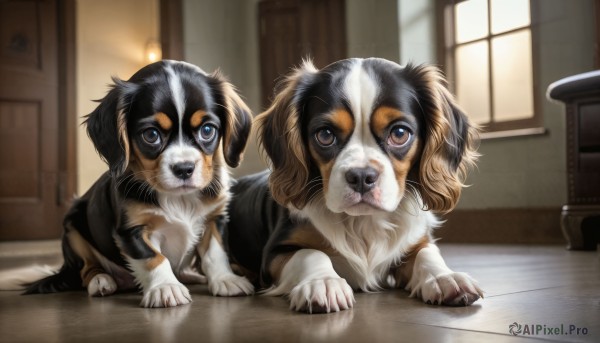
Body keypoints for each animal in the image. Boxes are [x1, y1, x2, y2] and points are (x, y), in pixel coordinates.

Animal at [0, 59, 253, 310]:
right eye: (151, 135)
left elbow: (215, 253)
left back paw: (191, 275)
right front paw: (165, 287)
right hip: (73, 225)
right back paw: (101, 281)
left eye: (207, 130)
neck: (178, 197)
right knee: (86, 269)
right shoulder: (132, 230)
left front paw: (226, 279)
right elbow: (154, 257)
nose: (184, 168)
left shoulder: (214, 218)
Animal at [225, 58, 482, 314]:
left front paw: (445, 278)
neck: (362, 222)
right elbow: (310, 254)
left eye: (400, 133)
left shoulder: (416, 241)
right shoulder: (274, 253)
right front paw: (324, 282)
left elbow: (428, 253)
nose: (361, 176)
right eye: (325, 135)